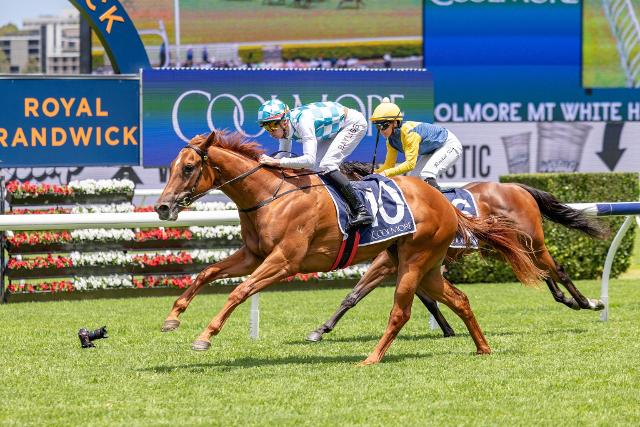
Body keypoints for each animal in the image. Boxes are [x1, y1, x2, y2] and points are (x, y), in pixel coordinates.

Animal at [154, 130, 545, 364]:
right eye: (170, 167)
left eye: (188, 168)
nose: (162, 207)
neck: (270, 195)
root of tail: (445, 202)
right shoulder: (254, 255)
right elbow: (207, 273)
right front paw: (173, 317)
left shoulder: (284, 261)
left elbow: (239, 291)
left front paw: (204, 337)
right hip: (426, 265)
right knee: (460, 299)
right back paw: (482, 347)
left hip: (414, 261)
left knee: (401, 312)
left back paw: (372, 357)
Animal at [305, 162, 610, 342]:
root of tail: (515, 186)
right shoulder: (407, 262)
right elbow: (427, 299)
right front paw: (448, 328)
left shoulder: (388, 263)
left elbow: (353, 296)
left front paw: (320, 330)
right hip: (503, 246)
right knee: (540, 271)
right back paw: (568, 300)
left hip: (532, 241)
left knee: (557, 269)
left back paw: (588, 302)